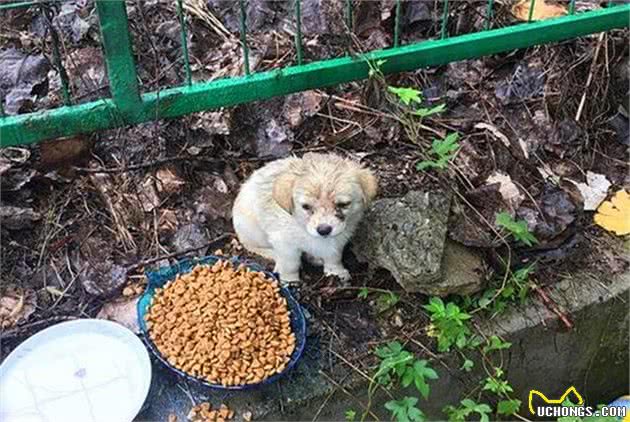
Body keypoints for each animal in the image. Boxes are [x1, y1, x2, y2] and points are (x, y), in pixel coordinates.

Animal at [233, 152, 378, 284]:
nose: (324, 230)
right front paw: (290, 281)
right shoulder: (284, 243)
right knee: (252, 245)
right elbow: (290, 264)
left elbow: (334, 257)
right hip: (253, 230)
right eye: (306, 206)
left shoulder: (338, 240)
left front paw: (336, 272)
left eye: (343, 204)